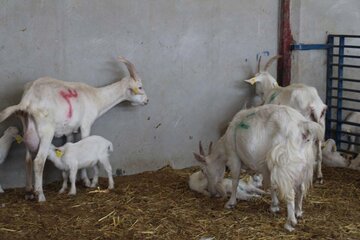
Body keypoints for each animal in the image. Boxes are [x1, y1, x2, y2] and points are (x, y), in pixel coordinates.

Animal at [0, 55, 148, 201]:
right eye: (140, 87)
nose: (147, 101)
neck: (95, 97)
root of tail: (27, 100)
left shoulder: (69, 131)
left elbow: (71, 145)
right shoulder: (86, 124)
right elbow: (84, 143)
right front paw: (87, 181)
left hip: (27, 130)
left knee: (28, 160)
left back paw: (29, 192)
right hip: (46, 131)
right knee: (38, 161)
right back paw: (40, 195)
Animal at [194, 104, 324, 232]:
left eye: (203, 170)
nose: (212, 192)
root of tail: (302, 125)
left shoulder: (234, 157)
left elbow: (235, 181)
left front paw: (230, 203)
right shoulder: (266, 166)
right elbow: (271, 185)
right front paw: (274, 205)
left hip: (283, 164)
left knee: (290, 192)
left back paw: (290, 222)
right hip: (305, 165)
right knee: (301, 188)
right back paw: (298, 212)